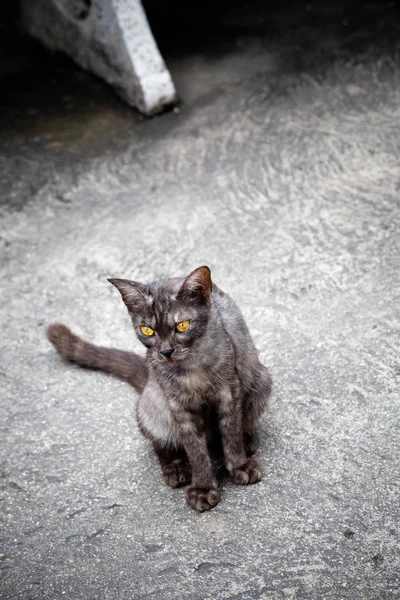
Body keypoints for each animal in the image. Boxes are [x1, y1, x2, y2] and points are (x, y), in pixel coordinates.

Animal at [47, 268, 272, 510]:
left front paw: (239, 466)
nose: (165, 351)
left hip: (260, 380)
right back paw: (176, 467)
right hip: (152, 407)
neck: (191, 370)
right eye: (147, 330)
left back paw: (246, 441)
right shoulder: (178, 407)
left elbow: (231, 432)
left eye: (182, 325)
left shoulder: (229, 392)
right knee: (161, 443)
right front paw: (203, 487)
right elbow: (195, 448)